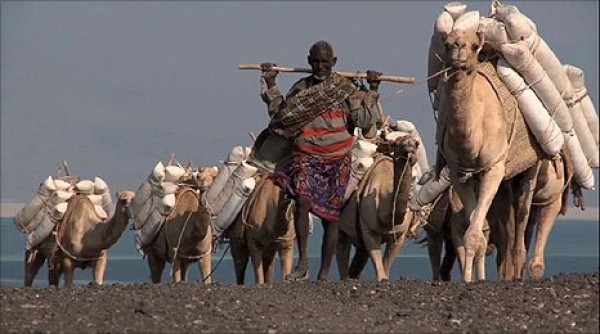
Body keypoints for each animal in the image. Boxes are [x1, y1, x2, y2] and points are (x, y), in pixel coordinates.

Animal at [336, 135, 420, 282]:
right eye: (396, 144)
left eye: (416, 144)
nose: (408, 147)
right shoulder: (369, 229)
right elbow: (380, 273)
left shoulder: (400, 234)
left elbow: (386, 267)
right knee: (341, 245)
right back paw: (345, 279)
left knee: (360, 253)